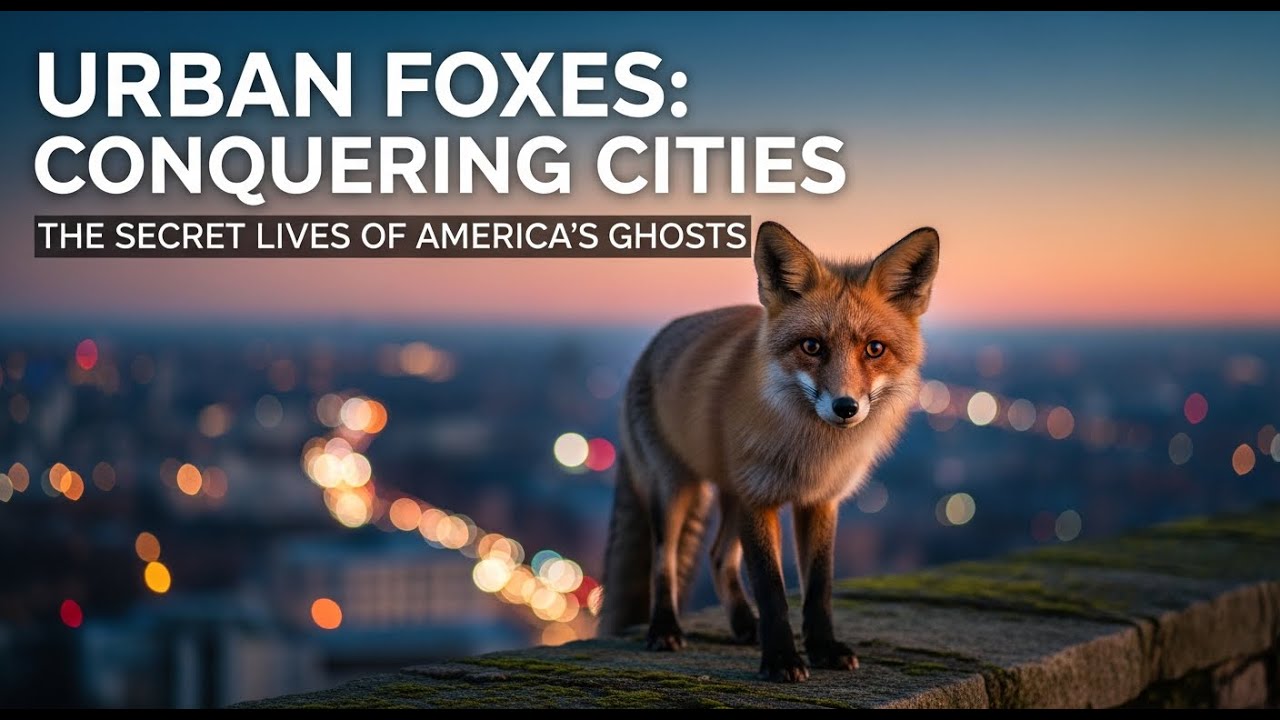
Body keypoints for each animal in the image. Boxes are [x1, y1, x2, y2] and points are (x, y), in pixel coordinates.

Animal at [600, 221, 940, 682]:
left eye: (874, 349)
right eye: (811, 346)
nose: (845, 407)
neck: (810, 453)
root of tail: (653, 344)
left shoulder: (819, 500)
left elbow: (819, 587)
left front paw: (823, 648)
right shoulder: (758, 499)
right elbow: (772, 587)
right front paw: (781, 659)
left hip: (728, 494)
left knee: (718, 556)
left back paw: (746, 626)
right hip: (674, 488)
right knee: (663, 560)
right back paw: (665, 629)